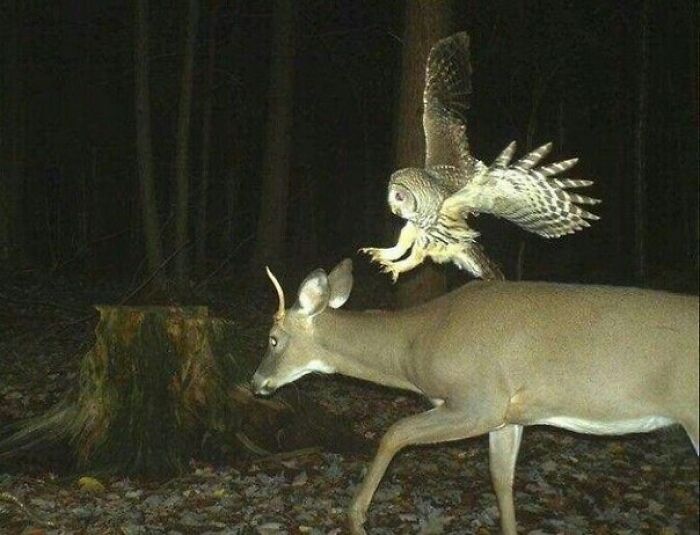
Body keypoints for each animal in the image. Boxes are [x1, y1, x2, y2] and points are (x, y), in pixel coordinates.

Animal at [250, 258, 699, 534]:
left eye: (272, 339)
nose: (255, 383)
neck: (414, 345)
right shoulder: (509, 416)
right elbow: (501, 481)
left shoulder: (478, 399)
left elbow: (394, 433)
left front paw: (356, 517)